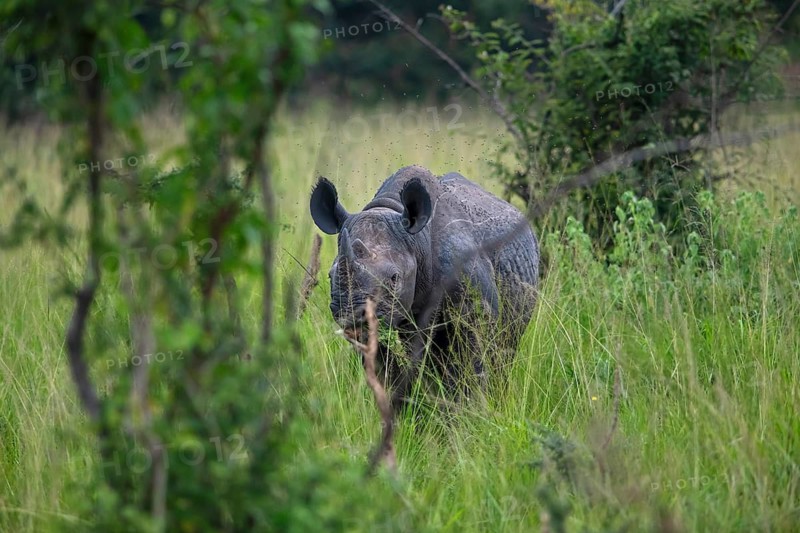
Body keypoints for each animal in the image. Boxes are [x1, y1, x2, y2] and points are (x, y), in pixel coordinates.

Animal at [310, 165, 539, 407]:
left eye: (394, 278)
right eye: (330, 276)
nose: (353, 314)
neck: (417, 241)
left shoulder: (476, 307)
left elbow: (473, 358)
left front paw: (472, 409)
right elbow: (385, 363)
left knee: (503, 347)